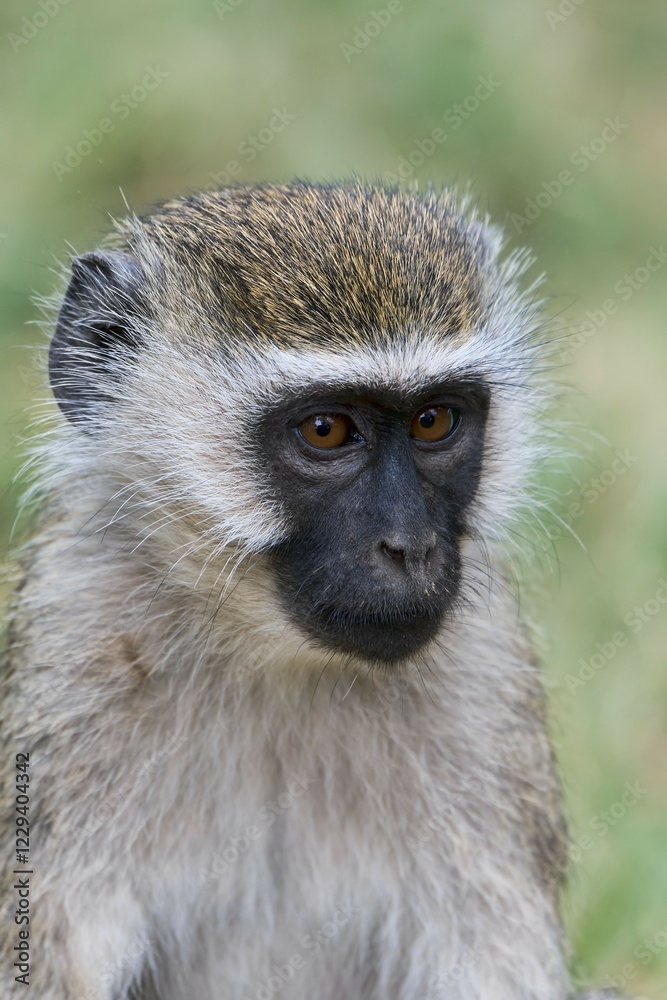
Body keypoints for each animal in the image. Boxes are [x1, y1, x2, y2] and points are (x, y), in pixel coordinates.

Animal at [0, 182, 629, 999]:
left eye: (434, 420)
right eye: (327, 430)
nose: (411, 545)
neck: (270, 660)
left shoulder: (487, 679)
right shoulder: (74, 639)